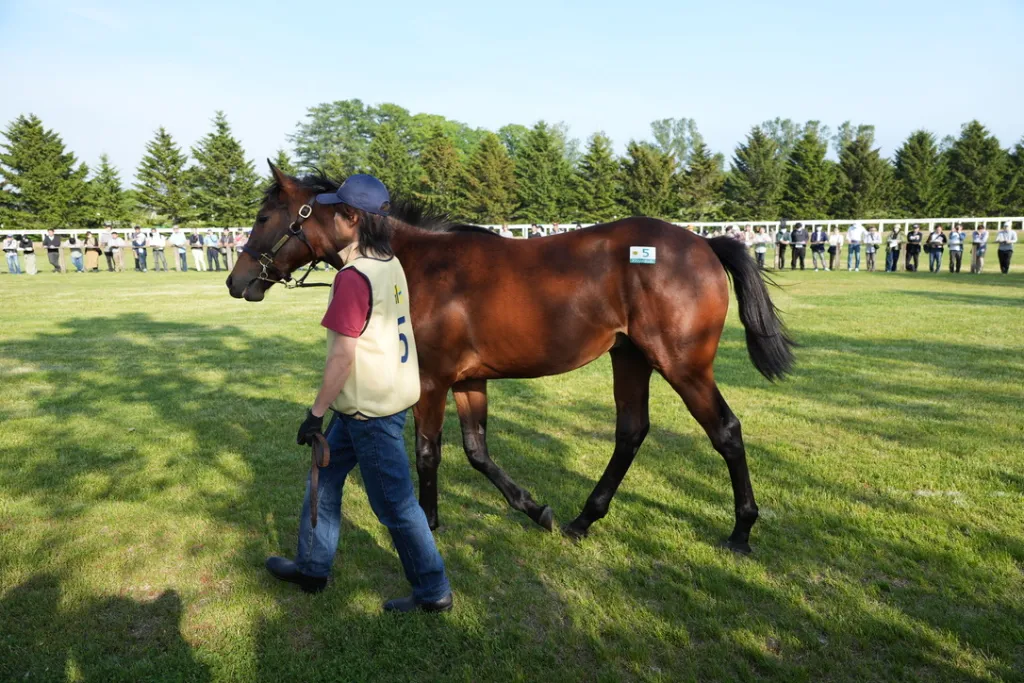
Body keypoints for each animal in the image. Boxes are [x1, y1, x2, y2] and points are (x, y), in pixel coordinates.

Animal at [226, 165, 795, 553]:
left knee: (725, 430)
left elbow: (428, 453)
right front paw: (534, 508)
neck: (416, 266)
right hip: (630, 357)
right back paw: (583, 519)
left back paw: (742, 529)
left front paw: (428, 523)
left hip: (682, 364)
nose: (237, 281)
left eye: (263, 217)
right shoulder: (468, 381)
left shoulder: (431, 382)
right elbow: (477, 451)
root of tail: (702, 243)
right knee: (631, 431)